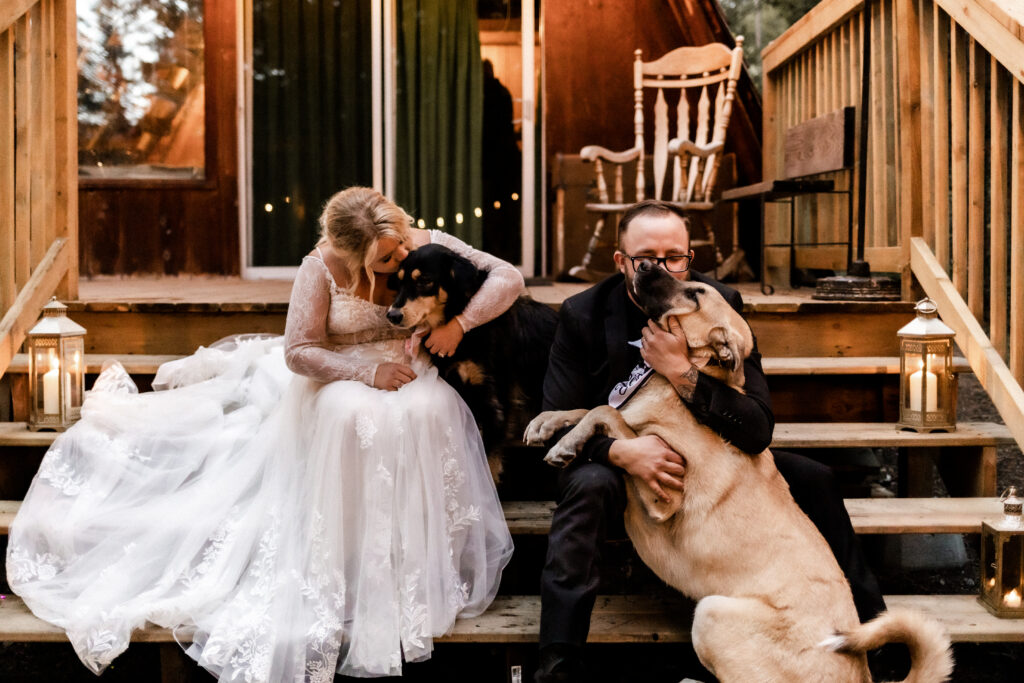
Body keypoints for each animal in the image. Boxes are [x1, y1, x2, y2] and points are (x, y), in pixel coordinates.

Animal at [524, 268, 954, 683]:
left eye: (695, 293)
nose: (644, 264)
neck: (683, 381)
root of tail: (860, 676)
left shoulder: (662, 492)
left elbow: (604, 412)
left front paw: (566, 445)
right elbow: (586, 407)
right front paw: (546, 423)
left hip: (711, 612)